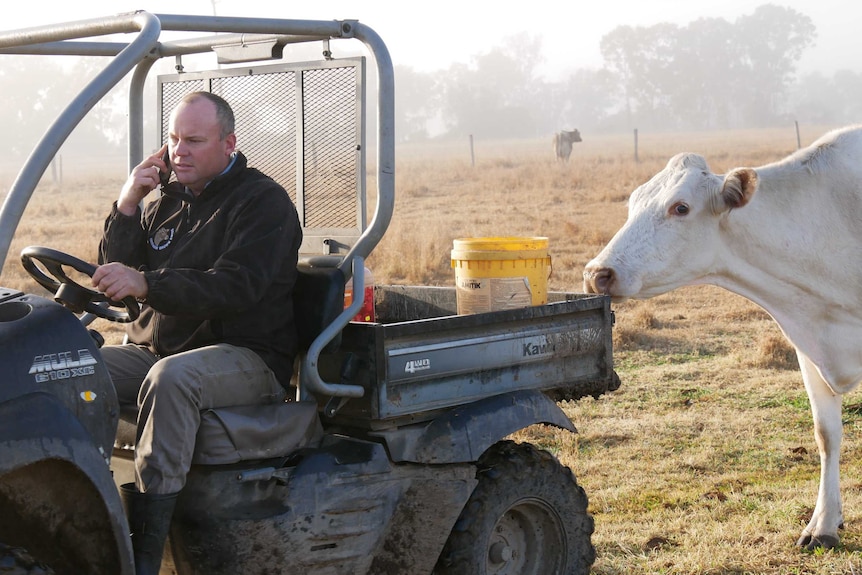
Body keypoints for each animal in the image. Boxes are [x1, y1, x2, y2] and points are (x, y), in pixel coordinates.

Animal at [584, 125, 862, 548]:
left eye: (681, 208)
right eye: (633, 202)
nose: (597, 273)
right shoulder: (809, 348)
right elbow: (826, 434)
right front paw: (824, 524)